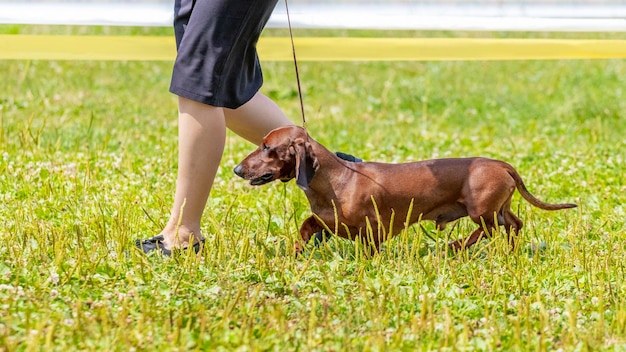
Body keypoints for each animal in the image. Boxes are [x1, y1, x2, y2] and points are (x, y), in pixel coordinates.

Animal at [233, 126, 576, 253]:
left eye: (267, 147)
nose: (236, 169)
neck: (337, 179)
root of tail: (501, 163)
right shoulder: (324, 221)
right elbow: (307, 227)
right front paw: (297, 251)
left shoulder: (374, 227)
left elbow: (370, 245)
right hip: (499, 209)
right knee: (514, 224)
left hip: (481, 209)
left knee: (486, 231)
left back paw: (456, 246)